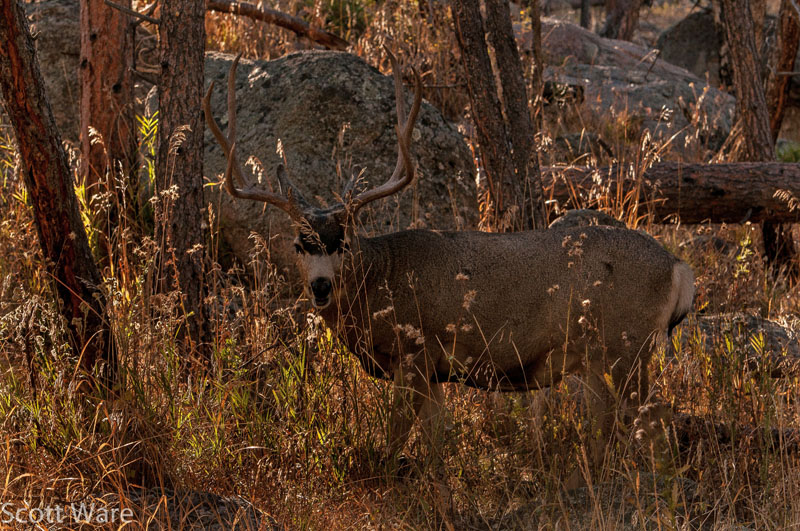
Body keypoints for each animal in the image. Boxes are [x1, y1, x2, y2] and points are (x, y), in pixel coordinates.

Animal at [203, 50, 695, 488]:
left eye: (344, 242)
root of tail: (678, 268)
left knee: (653, 423)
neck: (382, 281)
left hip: (629, 344)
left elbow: (395, 437)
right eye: (298, 245)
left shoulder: (416, 350)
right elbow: (436, 439)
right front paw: (439, 486)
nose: (321, 286)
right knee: (610, 421)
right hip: (594, 357)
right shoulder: (437, 370)